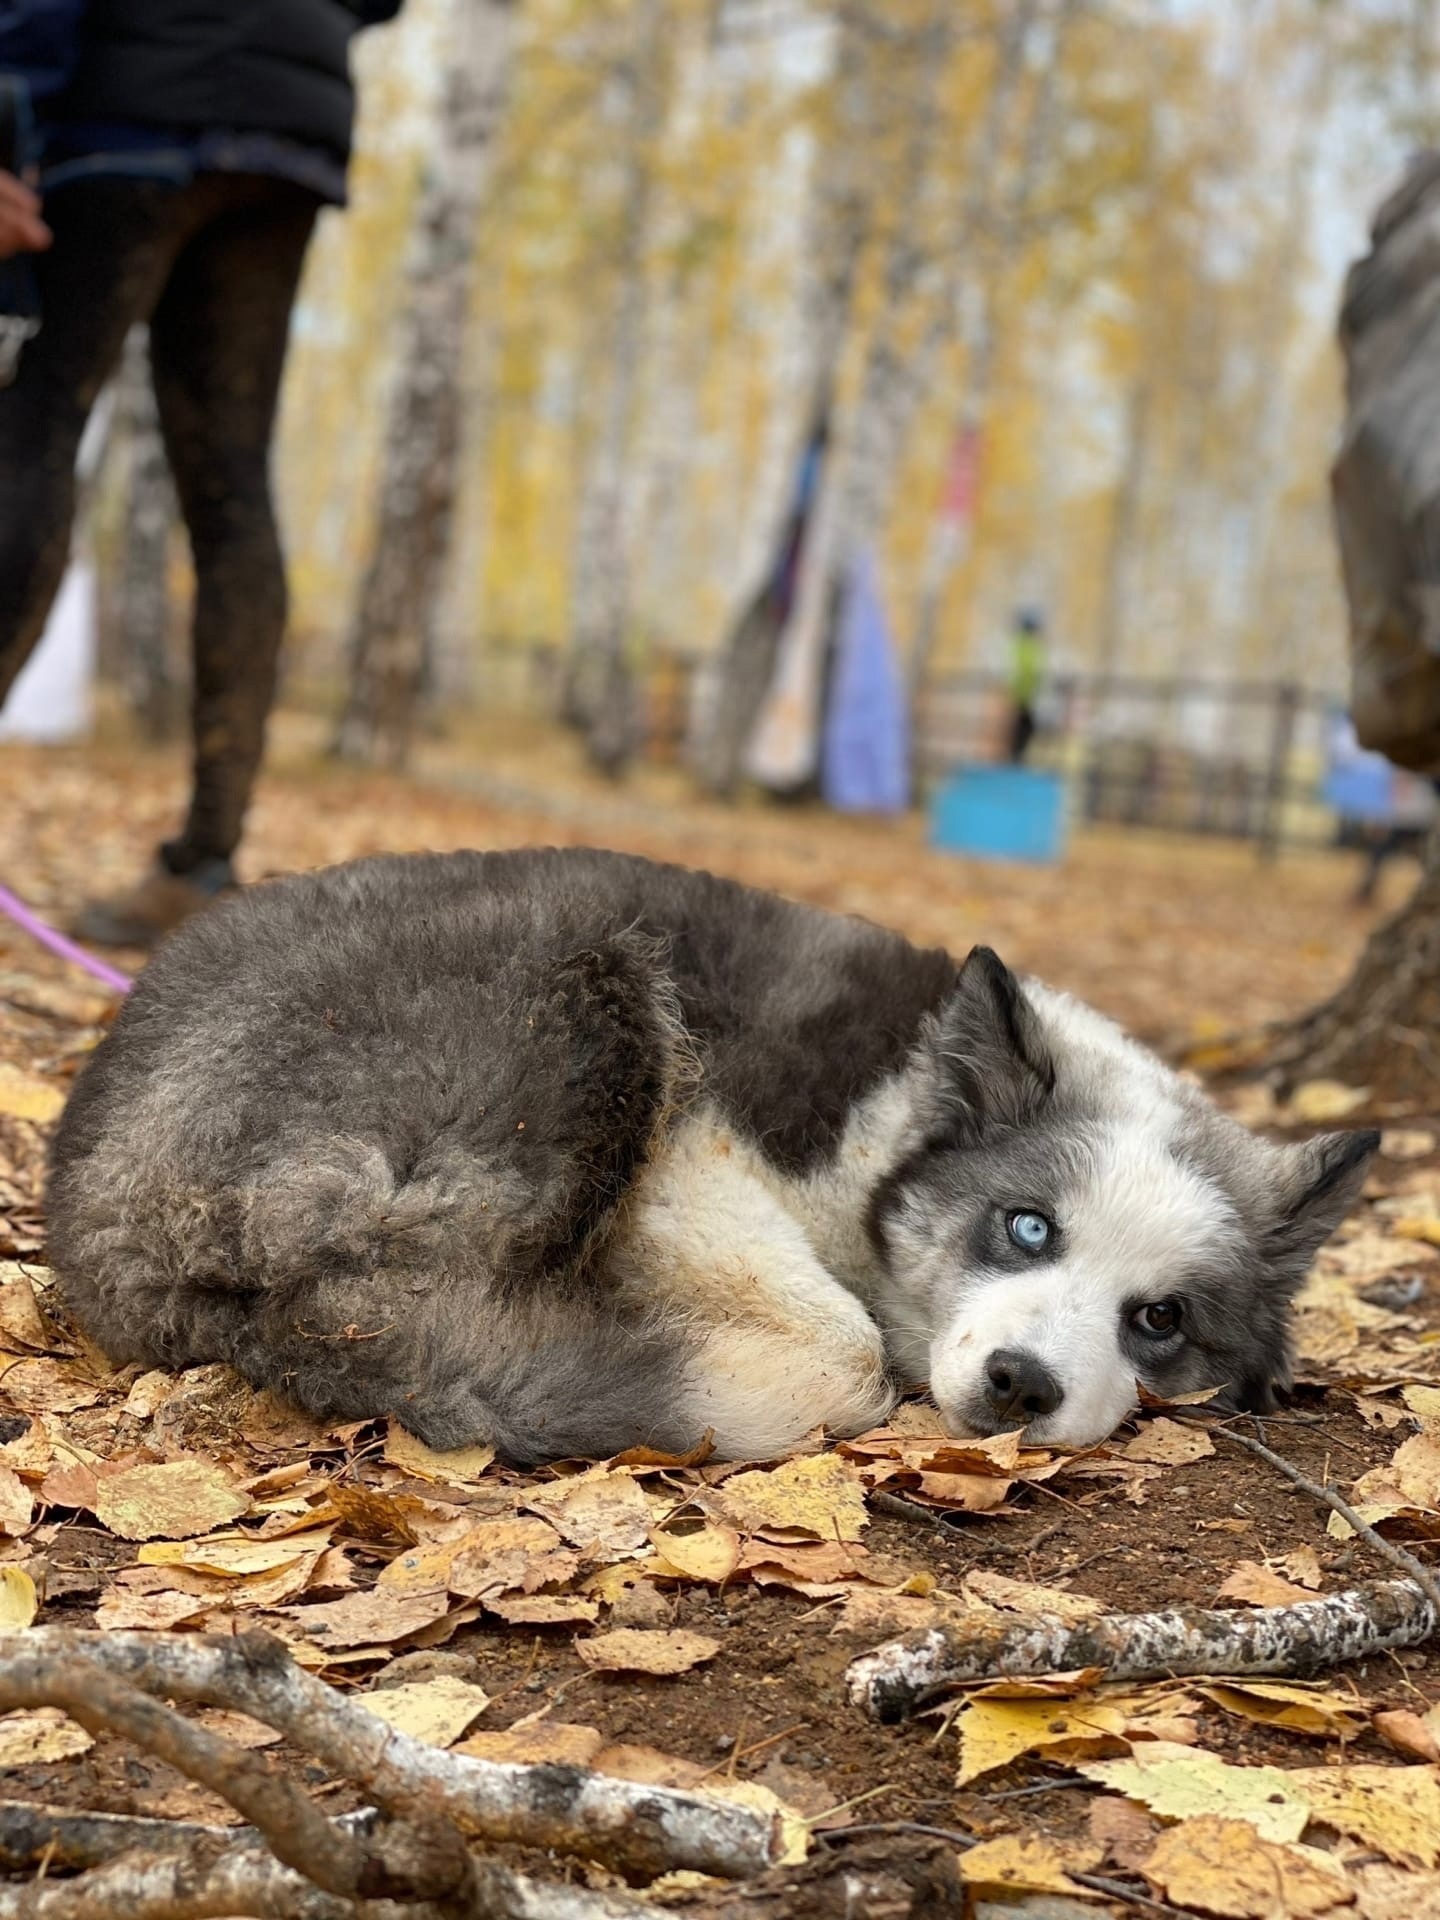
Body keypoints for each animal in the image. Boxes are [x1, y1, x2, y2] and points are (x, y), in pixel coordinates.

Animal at [50, 848, 1382, 1459]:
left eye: (1160, 1320)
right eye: (1027, 1226)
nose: (1021, 1386)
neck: (898, 1114)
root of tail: (97, 1211)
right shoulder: (697, 1148)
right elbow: (842, 1343)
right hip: (584, 975)